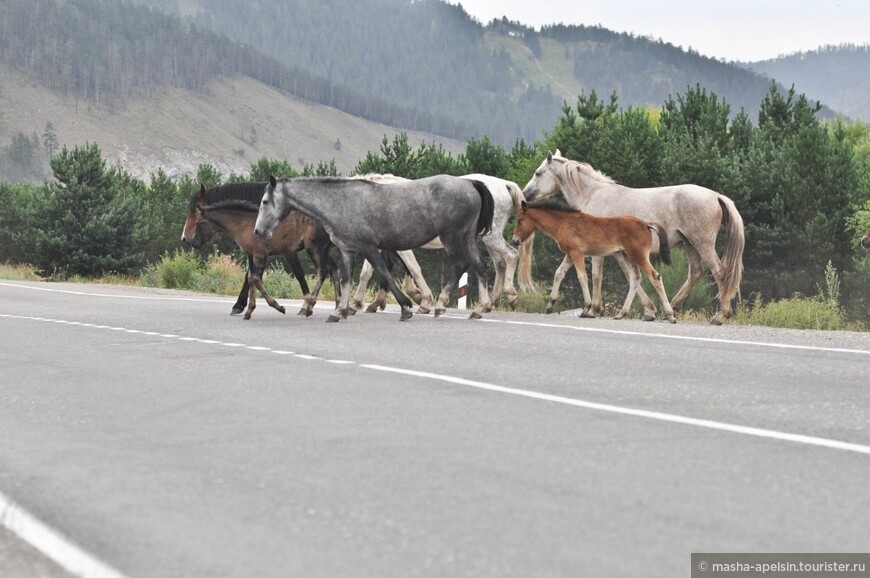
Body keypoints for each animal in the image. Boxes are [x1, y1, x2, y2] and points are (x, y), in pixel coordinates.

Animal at [181, 183, 338, 320]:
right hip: (323, 250)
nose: (189, 240)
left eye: (198, 221)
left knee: (323, 270)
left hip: (314, 248)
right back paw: (337, 307)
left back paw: (311, 306)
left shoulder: (262, 254)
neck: (246, 223)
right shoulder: (251, 255)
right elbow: (251, 278)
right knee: (332, 268)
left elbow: (257, 279)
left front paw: (279, 307)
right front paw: (248, 310)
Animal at [255, 173, 494, 322]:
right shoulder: (348, 251)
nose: (258, 231)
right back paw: (479, 309)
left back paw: (441, 304)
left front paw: (405, 307)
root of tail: (471, 183)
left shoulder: (369, 248)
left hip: (451, 237)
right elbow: (347, 279)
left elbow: (383, 273)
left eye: (265, 201)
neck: (341, 203)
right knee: (480, 266)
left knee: (461, 264)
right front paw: (340, 311)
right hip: (468, 238)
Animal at [352, 173, 528, 312]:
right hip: (486, 239)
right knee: (499, 264)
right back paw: (491, 301)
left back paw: (510, 295)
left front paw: (423, 299)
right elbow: (369, 272)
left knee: (511, 255)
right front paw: (359, 303)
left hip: (491, 237)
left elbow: (413, 269)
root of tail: (504, 184)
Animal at [516, 200, 676, 322]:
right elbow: (559, 273)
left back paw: (670, 316)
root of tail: (645, 224)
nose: (515, 240)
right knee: (635, 278)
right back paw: (621, 314)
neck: (564, 223)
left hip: (638, 256)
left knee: (655, 277)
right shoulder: (569, 254)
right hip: (627, 256)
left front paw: (586, 308)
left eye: (520, 221)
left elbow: (582, 277)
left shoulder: (577, 253)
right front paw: (550, 306)